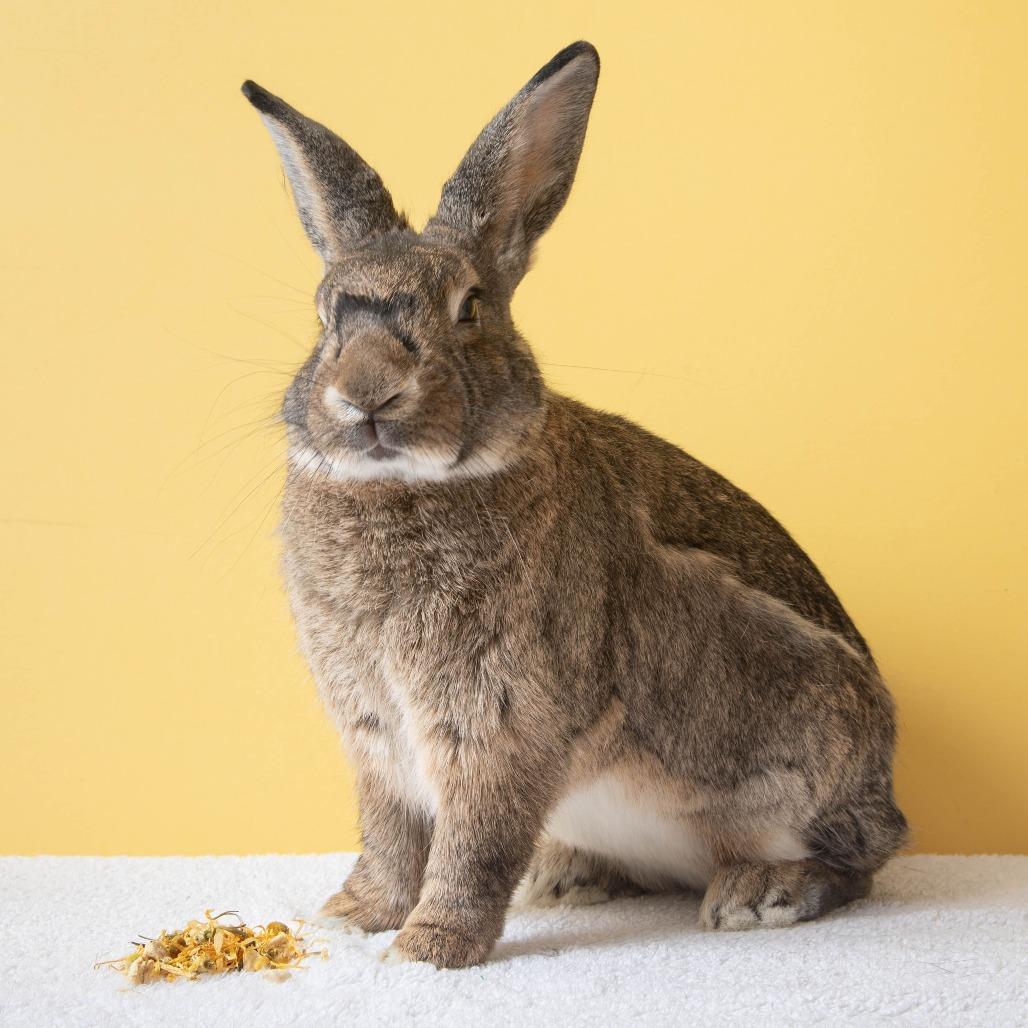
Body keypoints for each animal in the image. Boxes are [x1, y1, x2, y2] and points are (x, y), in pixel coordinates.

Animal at [241, 40, 907, 969]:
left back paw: (759, 892)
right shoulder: (378, 735)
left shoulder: (499, 723)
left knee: (864, 856)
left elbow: (471, 843)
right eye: (324, 316)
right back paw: (566, 878)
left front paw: (430, 947)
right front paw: (352, 915)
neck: (410, 482)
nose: (368, 392)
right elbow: (391, 835)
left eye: (471, 308)